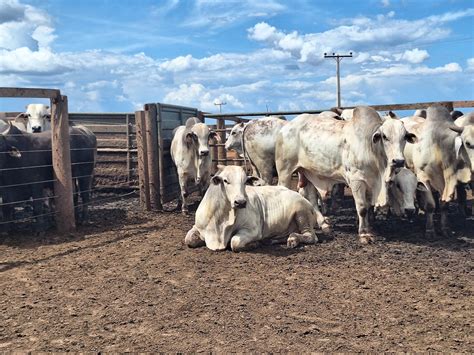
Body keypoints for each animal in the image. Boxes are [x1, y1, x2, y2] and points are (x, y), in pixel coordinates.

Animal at [185, 167, 318, 253]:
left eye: (245, 182)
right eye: (225, 180)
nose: (241, 202)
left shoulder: (253, 230)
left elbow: (234, 242)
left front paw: (254, 244)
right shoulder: (197, 227)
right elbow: (188, 240)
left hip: (301, 213)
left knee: (311, 236)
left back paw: (293, 239)